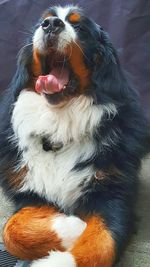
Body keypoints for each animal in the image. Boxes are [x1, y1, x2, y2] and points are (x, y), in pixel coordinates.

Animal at [0, 4, 148, 267]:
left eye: (79, 26)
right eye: (44, 20)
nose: (51, 25)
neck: (59, 123)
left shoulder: (113, 192)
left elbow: (101, 245)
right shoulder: (29, 193)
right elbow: (11, 230)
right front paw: (73, 226)